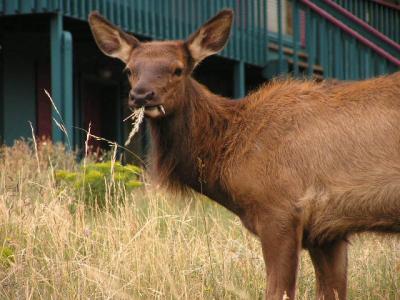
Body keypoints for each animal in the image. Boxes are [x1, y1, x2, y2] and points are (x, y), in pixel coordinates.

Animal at [89, 9, 400, 300]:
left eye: (178, 69)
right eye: (130, 70)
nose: (142, 95)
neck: (229, 154)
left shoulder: (280, 209)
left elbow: (277, 291)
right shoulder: (327, 231)